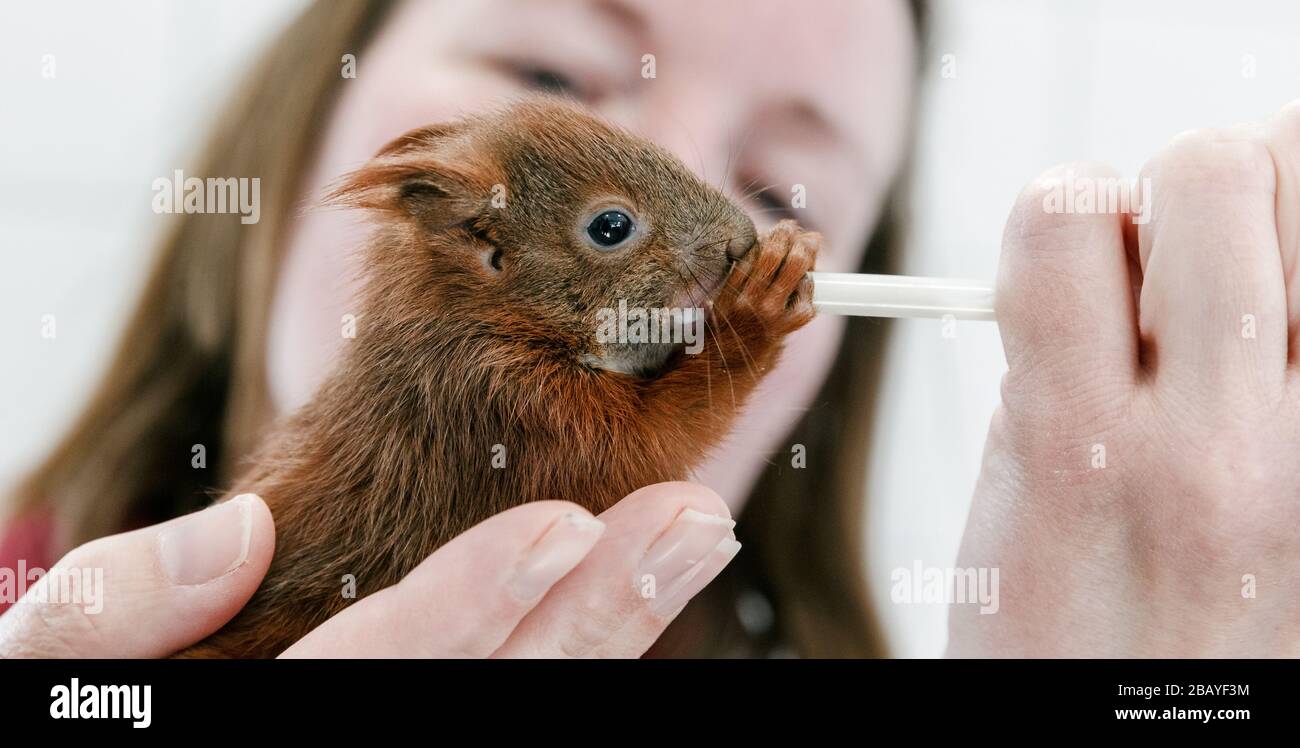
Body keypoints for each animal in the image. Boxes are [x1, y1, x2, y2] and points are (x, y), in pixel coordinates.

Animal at [180, 96, 821, 658]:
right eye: (611, 227)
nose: (741, 239)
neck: (479, 316)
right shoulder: (503, 405)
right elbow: (650, 443)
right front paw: (761, 299)